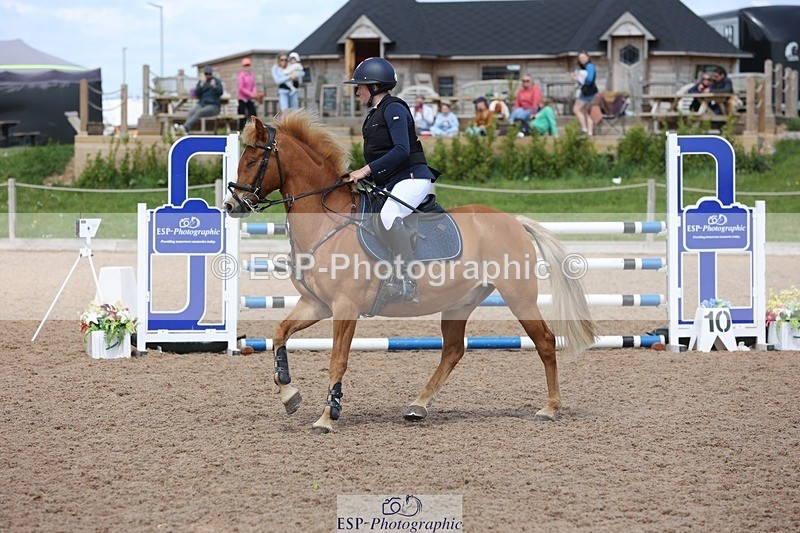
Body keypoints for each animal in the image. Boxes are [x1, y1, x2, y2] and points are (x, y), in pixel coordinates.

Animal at [224, 110, 596, 433]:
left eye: (253, 161)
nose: (231, 206)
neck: (327, 221)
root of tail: (513, 220)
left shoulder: (345, 308)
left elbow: (337, 360)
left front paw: (328, 416)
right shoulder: (316, 304)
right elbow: (279, 333)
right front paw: (290, 394)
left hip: (519, 297)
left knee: (545, 341)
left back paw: (550, 407)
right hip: (460, 302)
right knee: (453, 351)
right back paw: (418, 405)